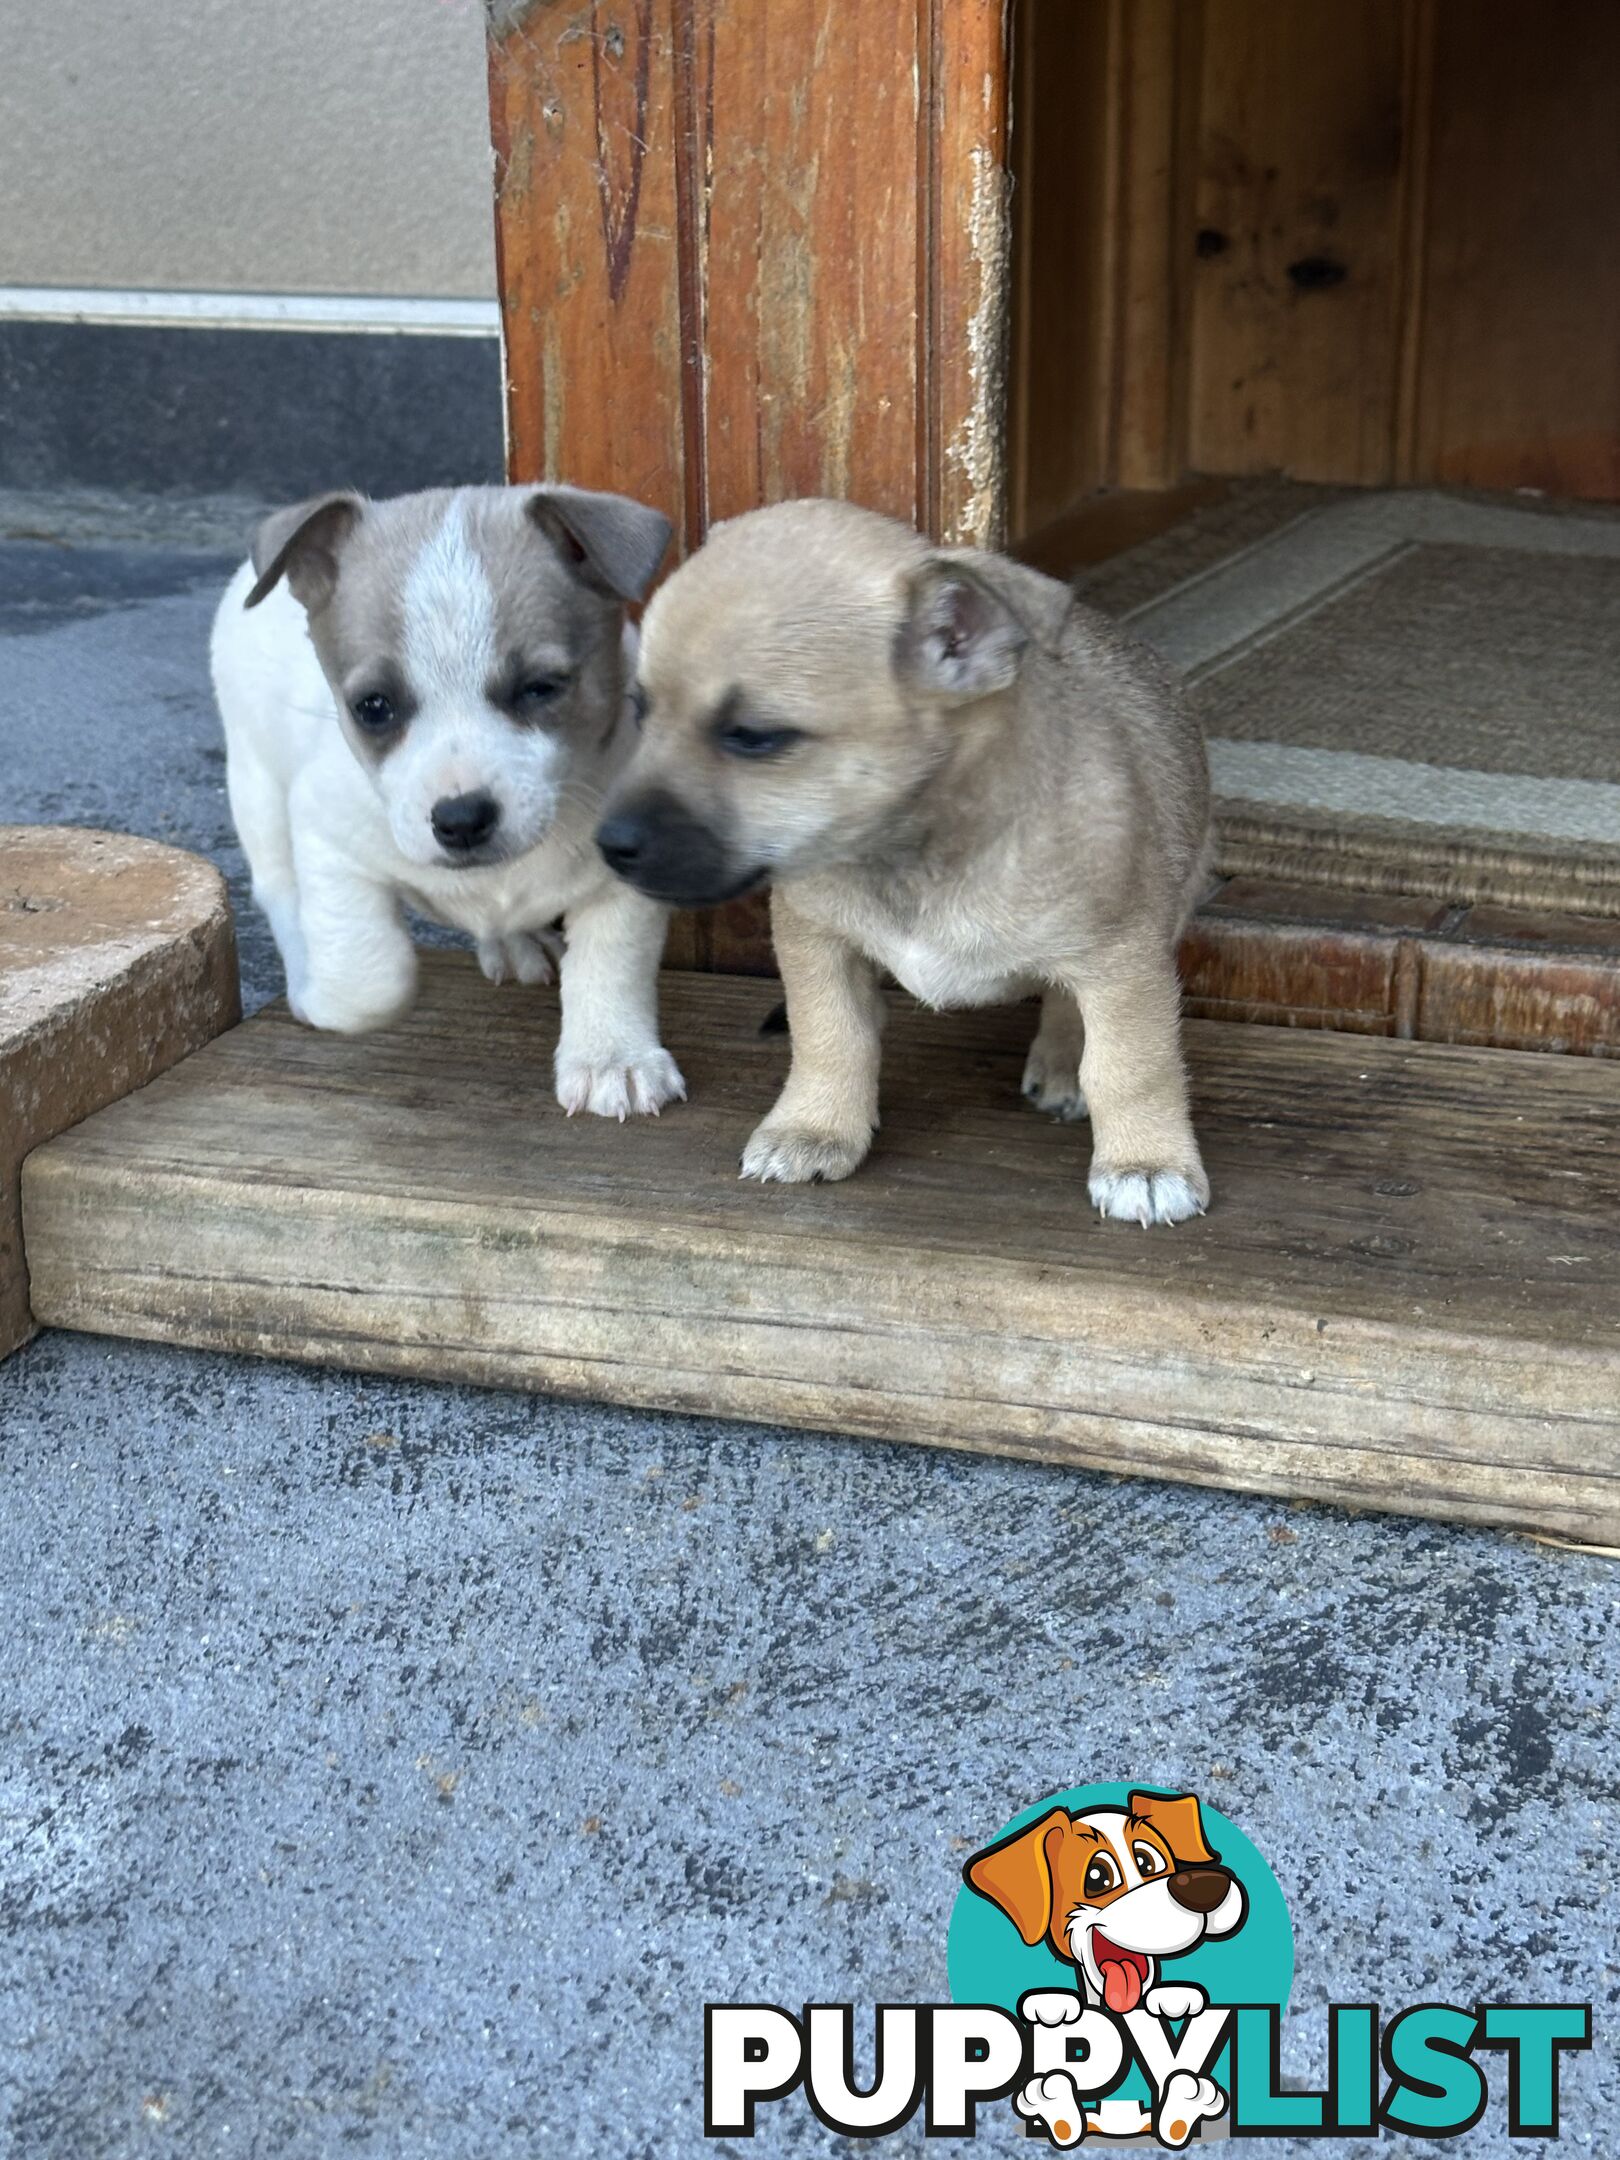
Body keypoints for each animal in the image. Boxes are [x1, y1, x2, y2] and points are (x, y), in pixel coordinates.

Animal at [209, 483, 686, 1123]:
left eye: (540, 688)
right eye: (373, 707)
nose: (460, 821)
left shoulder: (625, 872)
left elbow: (610, 964)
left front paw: (613, 1057)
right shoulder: (329, 843)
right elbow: (373, 983)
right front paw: (323, 996)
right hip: (257, 792)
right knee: (280, 892)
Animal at [604, 494, 1209, 1226]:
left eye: (754, 738)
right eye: (640, 709)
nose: (610, 845)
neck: (915, 853)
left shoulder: (1122, 960)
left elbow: (1129, 1065)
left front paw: (1145, 1163)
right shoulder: (818, 942)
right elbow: (831, 1038)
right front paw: (814, 1128)